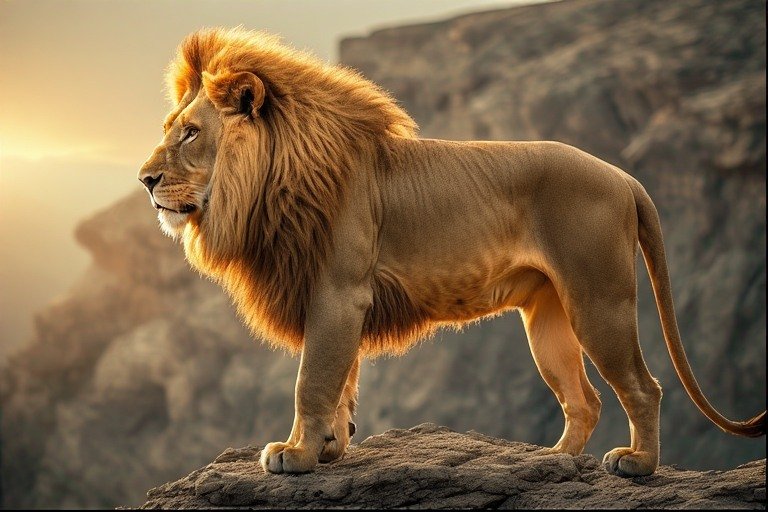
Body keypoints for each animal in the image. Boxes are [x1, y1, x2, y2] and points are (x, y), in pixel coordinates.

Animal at [138, 27, 765, 477]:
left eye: (191, 133)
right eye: (171, 127)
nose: (145, 180)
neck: (271, 181)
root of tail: (626, 177)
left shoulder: (338, 292)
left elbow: (312, 379)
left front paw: (295, 454)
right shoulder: (336, 298)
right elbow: (342, 381)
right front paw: (331, 448)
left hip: (599, 299)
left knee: (642, 386)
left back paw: (638, 465)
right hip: (547, 317)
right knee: (584, 399)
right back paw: (554, 462)